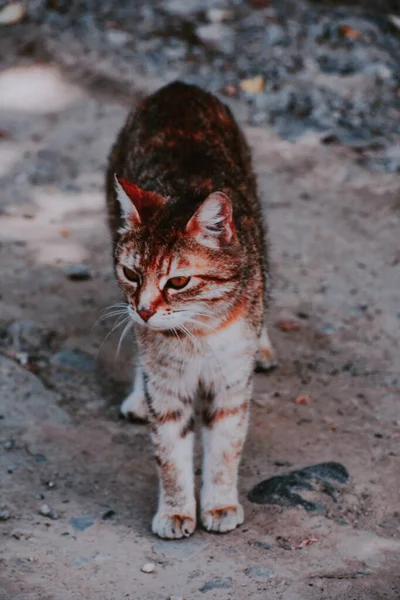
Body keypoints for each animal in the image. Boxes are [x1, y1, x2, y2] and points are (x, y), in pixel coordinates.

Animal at [104, 81, 276, 540]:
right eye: (131, 273)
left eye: (177, 282)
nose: (145, 309)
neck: (197, 335)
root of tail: (179, 86)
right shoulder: (167, 391)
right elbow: (169, 454)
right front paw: (177, 510)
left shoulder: (232, 385)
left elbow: (225, 450)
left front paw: (219, 504)